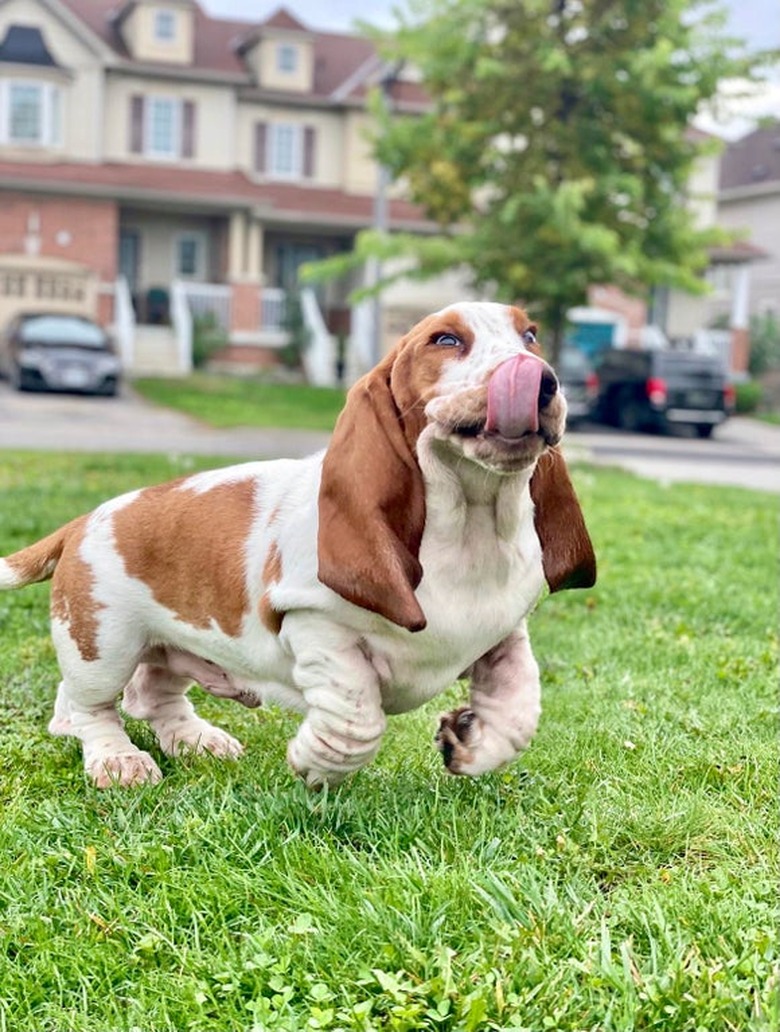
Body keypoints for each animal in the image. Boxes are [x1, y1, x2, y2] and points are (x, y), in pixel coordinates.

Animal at [1, 301, 598, 784]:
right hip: (105, 644)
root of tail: (84, 520)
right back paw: (117, 760)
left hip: (163, 647)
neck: (471, 524)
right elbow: (358, 717)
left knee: (150, 697)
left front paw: (469, 745)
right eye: (446, 340)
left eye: (530, 335)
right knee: (89, 708)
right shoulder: (316, 625)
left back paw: (197, 740)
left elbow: (519, 708)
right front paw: (315, 762)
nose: (541, 379)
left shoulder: (505, 635)